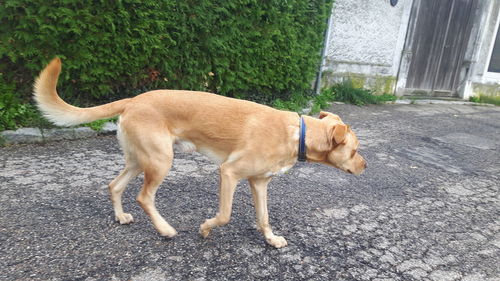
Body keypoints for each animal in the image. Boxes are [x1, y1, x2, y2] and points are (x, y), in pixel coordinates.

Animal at [33, 57, 366, 247]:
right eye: (355, 149)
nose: (366, 166)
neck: (298, 133)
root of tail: (134, 99)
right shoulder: (229, 173)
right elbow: (225, 215)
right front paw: (206, 229)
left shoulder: (259, 183)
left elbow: (264, 217)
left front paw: (271, 239)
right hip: (160, 161)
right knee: (144, 197)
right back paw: (165, 229)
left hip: (140, 159)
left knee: (114, 185)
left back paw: (121, 216)